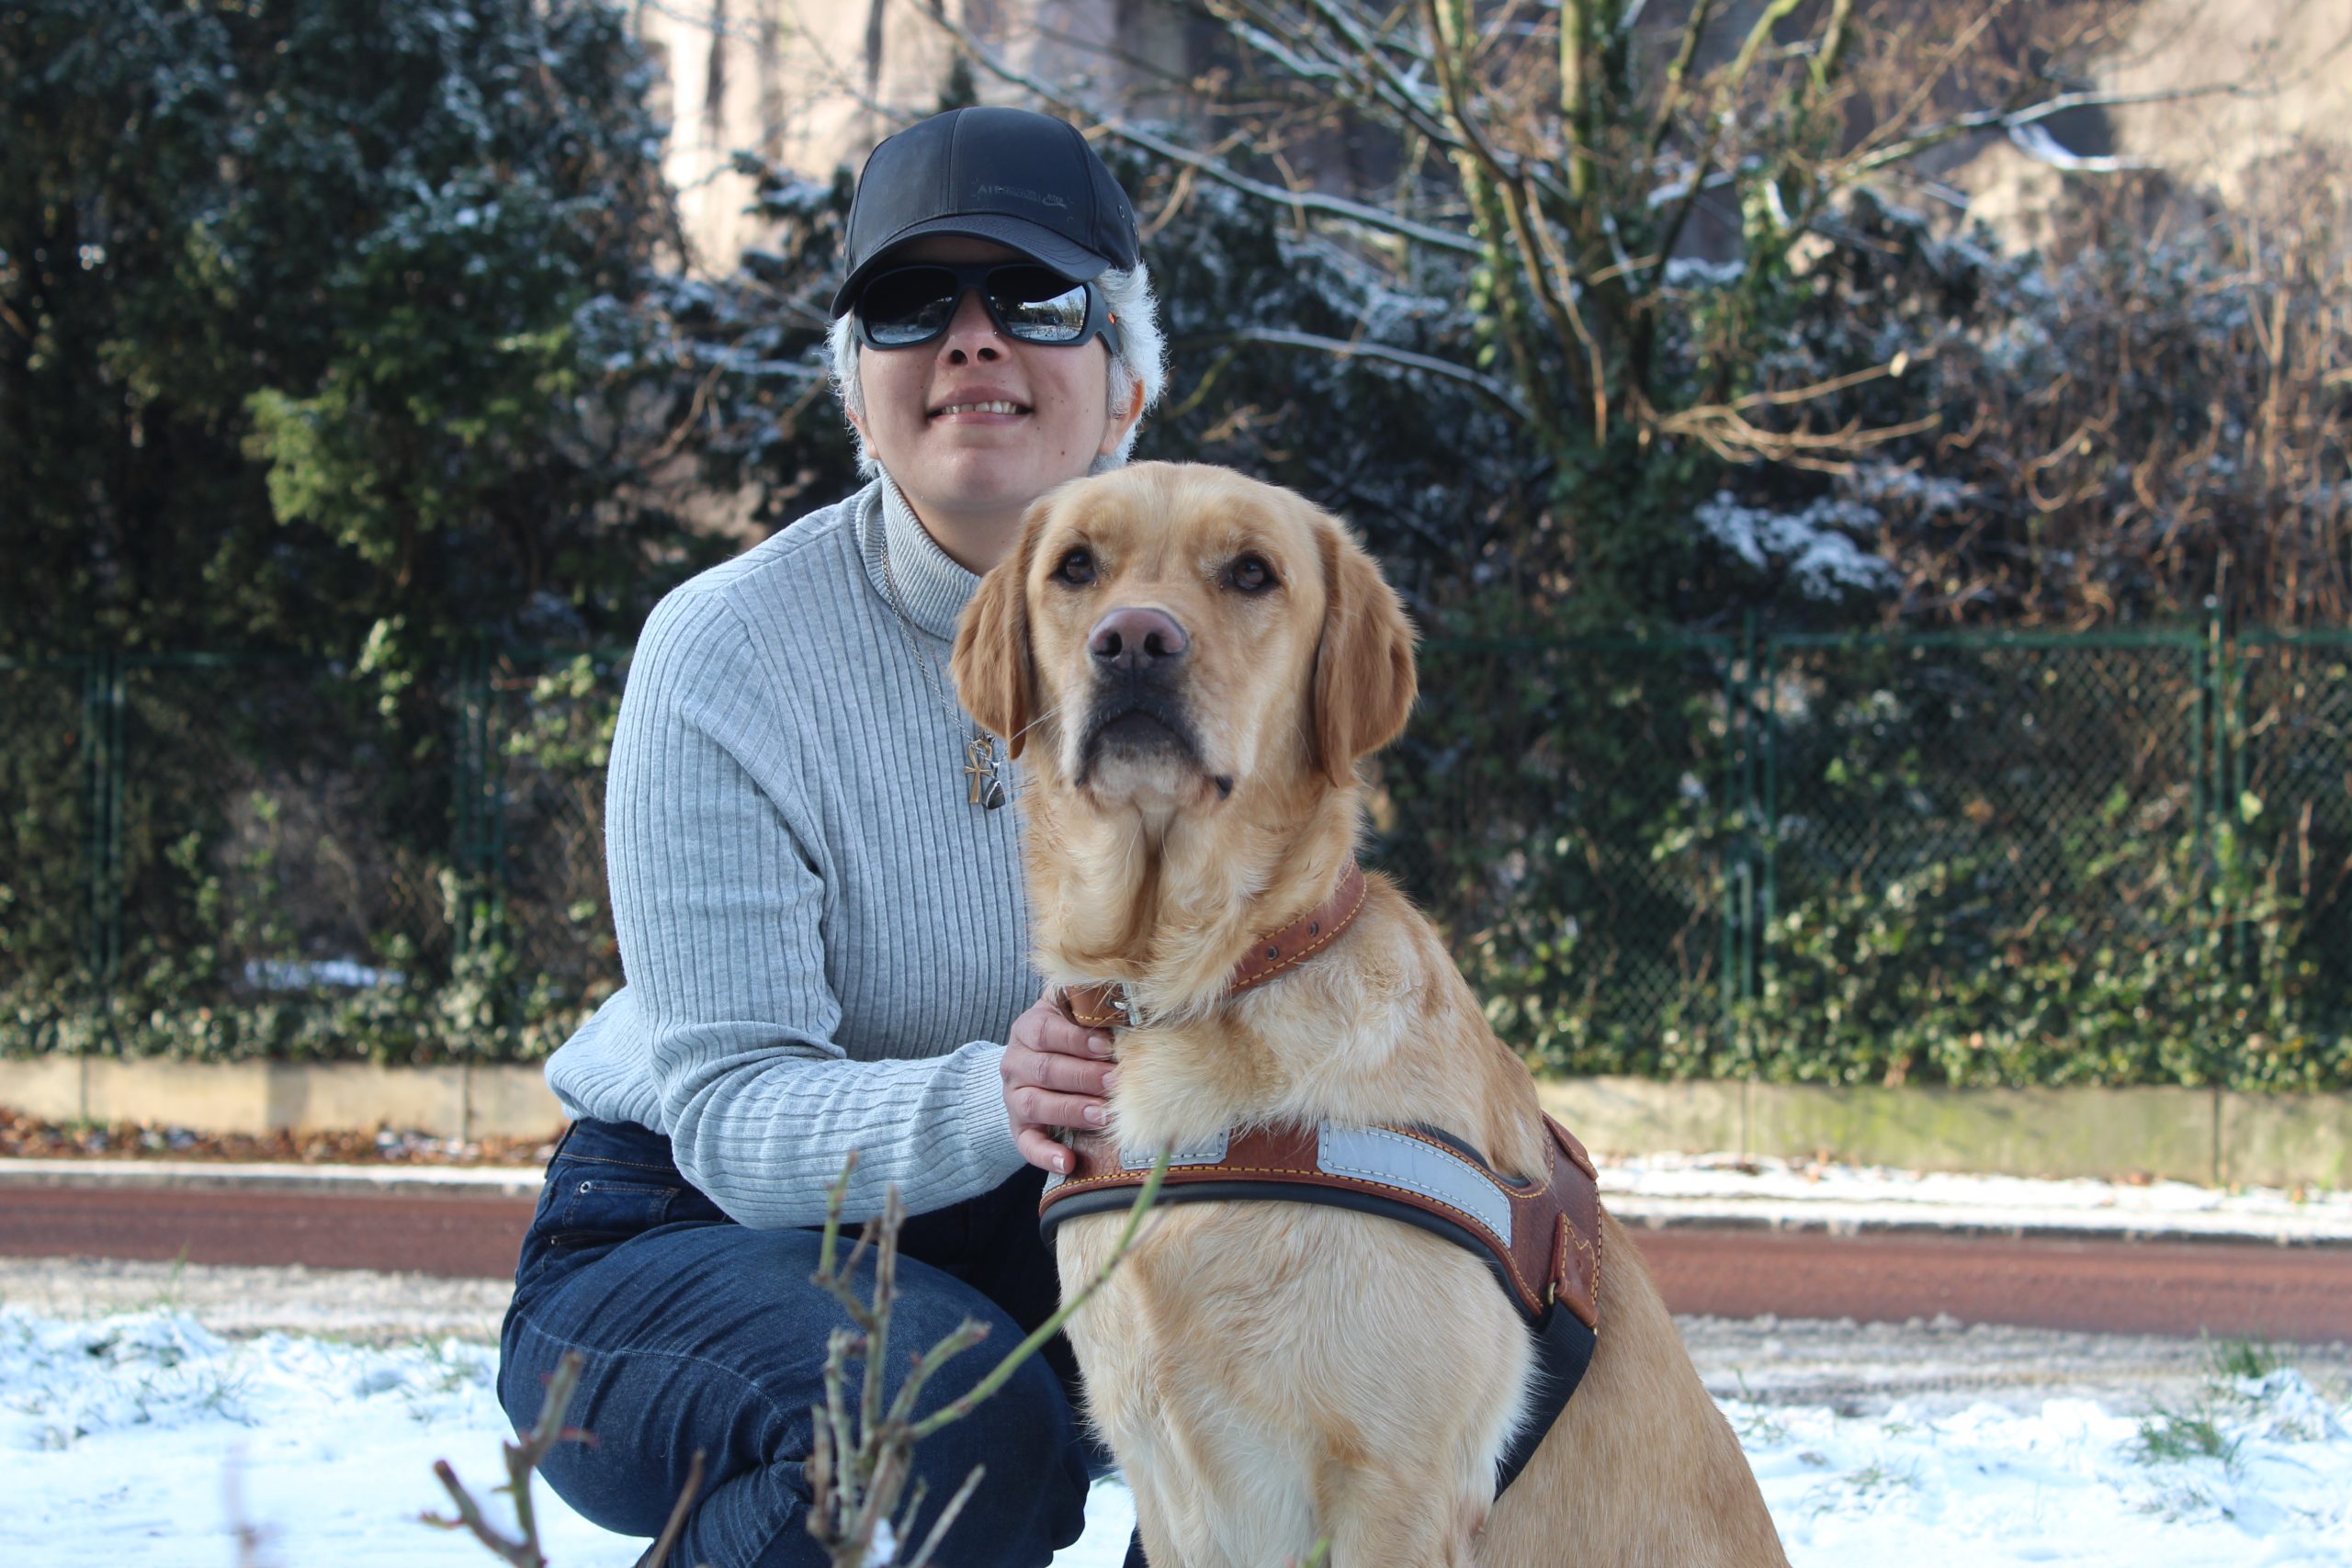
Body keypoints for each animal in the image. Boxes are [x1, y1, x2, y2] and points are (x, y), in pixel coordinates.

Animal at [941, 460, 1778, 1561]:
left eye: (1252, 573)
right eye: (1076, 567)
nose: (1133, 640)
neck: (1200, 982)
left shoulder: (1398, 1486)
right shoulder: (1165, 1485)